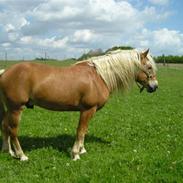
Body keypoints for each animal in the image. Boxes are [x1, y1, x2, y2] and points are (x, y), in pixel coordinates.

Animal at [0, 48, 157, 160]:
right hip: (16, 108)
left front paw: (82, 150)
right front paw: (75, 153)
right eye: (149, 67)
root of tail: (5, 72)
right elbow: (80, 130)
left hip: (9, 109)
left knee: (5, 126)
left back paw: (8, 151)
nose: (154, 86)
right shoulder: (88, 110)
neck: (99, 76)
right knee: (13, 130)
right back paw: (21, 155)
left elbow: (84, 131)